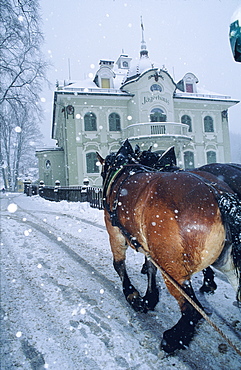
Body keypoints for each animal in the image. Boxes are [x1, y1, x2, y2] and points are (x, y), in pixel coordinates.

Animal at [97, 141, 240, 352]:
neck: (124, 170)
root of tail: (218, 194)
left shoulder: (115, 233)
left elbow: (119, 265)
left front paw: (133, 295)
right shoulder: (148, 245)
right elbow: (150, 268)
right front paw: (150, 297)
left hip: (172, 269)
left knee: (191, 310)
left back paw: (173, 338)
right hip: (228, 266)